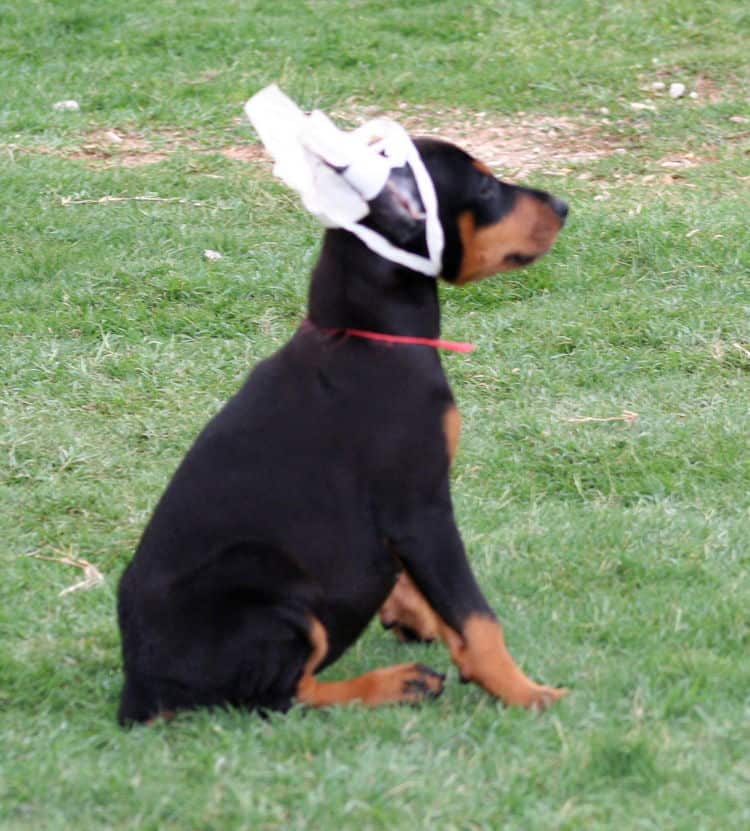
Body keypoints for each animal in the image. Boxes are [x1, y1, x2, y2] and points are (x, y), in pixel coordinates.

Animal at [119, 140, 568, 724]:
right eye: (486, 187)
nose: (562, 205)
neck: (365, 334)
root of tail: (137, 690)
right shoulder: (420, 506)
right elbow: (474, 614)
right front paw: (524, 691)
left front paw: (415, 615)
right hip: (275, 588)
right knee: (279, 697)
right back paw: (396, 684)